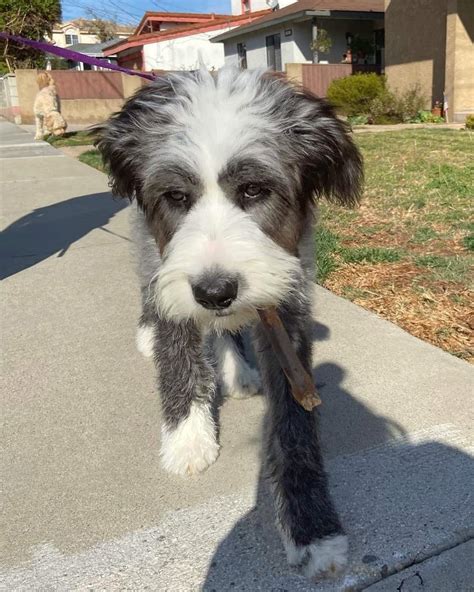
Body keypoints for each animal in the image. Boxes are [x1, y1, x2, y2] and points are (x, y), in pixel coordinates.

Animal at [96, 66, 362, 580]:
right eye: (176, 196)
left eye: (254, 190)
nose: (216, 292)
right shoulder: (173, 273)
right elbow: (178, 355)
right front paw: (187, 438)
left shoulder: (288, 292)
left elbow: (294, 421)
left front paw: (312, 527)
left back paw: (238, 371)